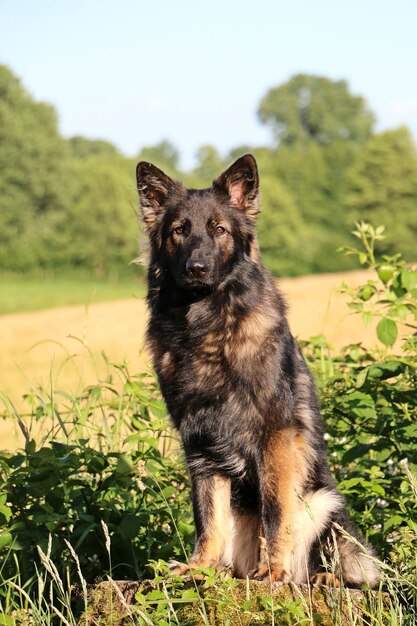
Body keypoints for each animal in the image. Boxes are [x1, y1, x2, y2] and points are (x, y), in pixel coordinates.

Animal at [135, 154, 378, 584]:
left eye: (219, 229)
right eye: (180, 230)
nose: (197, 267)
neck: (206, 325)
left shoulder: (275, 434)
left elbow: (275, 509)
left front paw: (274, 570)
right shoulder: (200, 442)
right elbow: (207, 516)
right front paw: (199, 567)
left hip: (324, 501)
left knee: (339, 565)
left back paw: (314, 576)